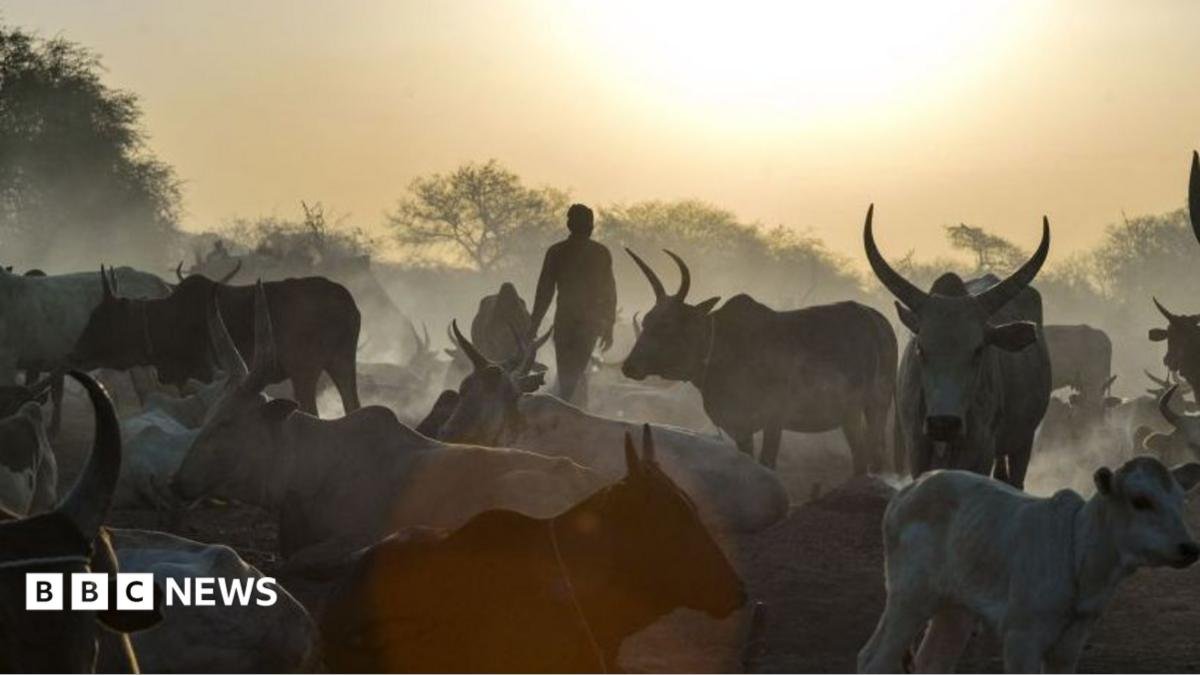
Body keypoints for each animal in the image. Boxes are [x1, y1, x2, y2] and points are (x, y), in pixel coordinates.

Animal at [70, 267, 362, 416]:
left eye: (100, 318)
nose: (76, 353)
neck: (164, 319)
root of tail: (347, 301)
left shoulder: (207, 372)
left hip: (305, 370)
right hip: (342, 364)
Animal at [620, 247, 897, 472]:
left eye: (667, 325)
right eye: (646, 321)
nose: (629, 366)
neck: (721, 346)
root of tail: (878, 321)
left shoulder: (774, 419)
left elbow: (768, 463)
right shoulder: (741, 427)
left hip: (876, 406)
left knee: (873, 456)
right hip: (851, 415)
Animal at [858, 457, 1200, 673]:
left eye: (1181, 501)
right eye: (1140, 501)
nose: (1189, 547)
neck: (1078, 552)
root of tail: (909, 488)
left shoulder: (1070, 645)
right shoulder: (1021, 638)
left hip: (955, 609)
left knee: (933, 662)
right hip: (910, 597)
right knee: (873, 660)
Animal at [865, 205, 1052, 488]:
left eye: (978, 350)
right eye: (920, 348)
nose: (944, 423)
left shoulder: (981, 448)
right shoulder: (916, 447)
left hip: (1023, 439)